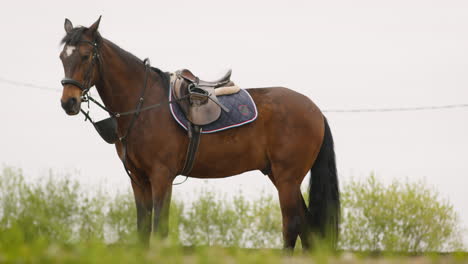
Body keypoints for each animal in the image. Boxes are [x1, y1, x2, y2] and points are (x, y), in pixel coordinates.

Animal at [58, 17, 340, 251]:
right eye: (62, 57)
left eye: (86, 56)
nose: (68, 102)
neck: (145, 104)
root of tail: (314, 110)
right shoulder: (139, 180)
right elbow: (142, 231)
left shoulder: (161, 176)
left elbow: (159, 230)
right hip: (278, 175)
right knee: (307, 228)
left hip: (287, 178)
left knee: (292, 226)